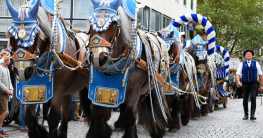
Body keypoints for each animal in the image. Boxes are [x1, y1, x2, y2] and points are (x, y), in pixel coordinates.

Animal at [6, 0, 89, 137]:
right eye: (13, 37)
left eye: (35, 35)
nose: (23, 71)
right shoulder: (30, 88)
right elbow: (29, 118)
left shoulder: (58, 89)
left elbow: (53, 119)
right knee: (66, 113)